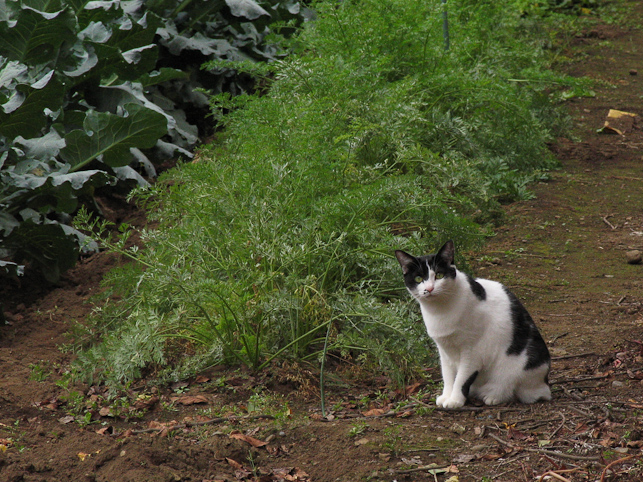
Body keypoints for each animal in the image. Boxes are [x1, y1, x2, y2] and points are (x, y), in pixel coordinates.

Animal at [394, 239, 552, 408]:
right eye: (418, 279)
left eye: (439, 275)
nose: (429, 289)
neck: (439, 311)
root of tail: (545, 383)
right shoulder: (444, 350)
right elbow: (448, 376)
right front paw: (446, 396)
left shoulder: (473, 351)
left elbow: (462, 378)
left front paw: (455, 400)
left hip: (522, 365)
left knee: (513, 387)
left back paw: (493, 395)